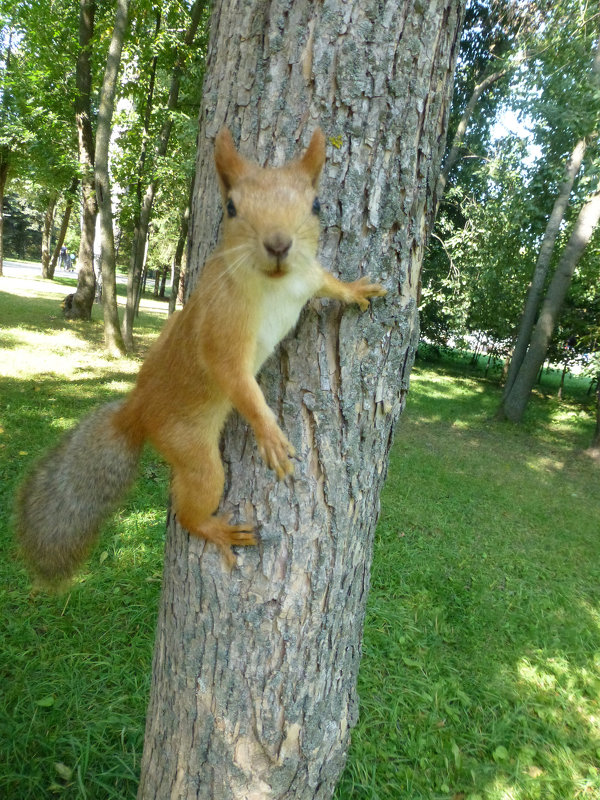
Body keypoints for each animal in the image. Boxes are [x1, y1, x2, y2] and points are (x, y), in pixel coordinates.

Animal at [16, 128, 386, 584]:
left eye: (315, 205)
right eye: (231, 208)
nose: (278, 244)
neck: (277, 285)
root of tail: (138, 410)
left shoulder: (309, 276)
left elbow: (330, 284)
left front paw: (355, 290)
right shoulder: (222, 327)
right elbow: (233, 378)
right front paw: (270, 435)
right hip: (191, 449)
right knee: (190, 506)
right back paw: (217, 530)